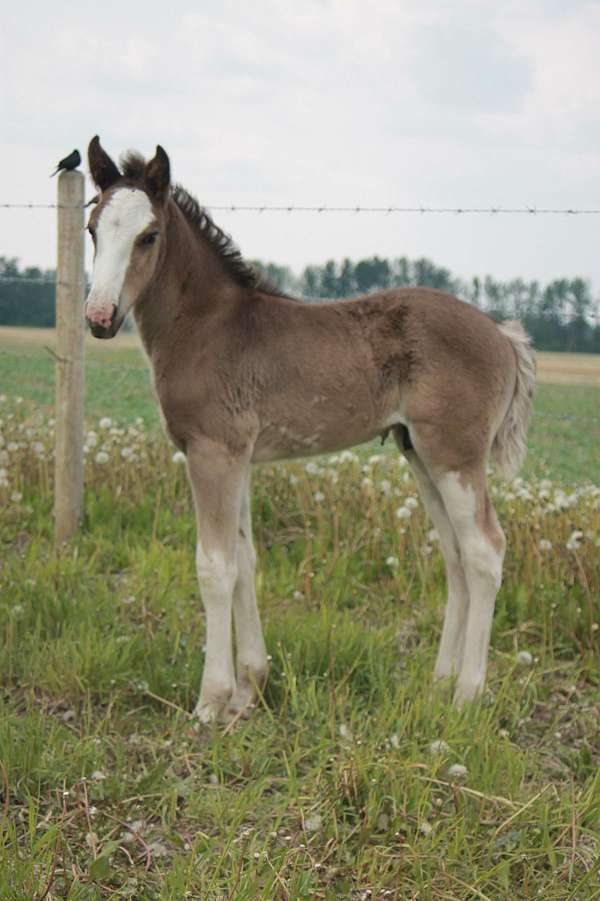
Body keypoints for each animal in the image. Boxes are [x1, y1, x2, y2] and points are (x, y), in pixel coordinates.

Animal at [84, 136, 535, 724]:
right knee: (456, 556)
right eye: (92, 228)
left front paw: (210, 703)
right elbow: (245, 561)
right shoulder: (238, 458)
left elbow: (215, 568)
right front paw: (248, 692)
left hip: (455, 457)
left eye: (149, 235)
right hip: (420, 454)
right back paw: (438, 685)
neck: (206, 324)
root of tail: (503, 334)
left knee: (485, 551)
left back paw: (466, 696)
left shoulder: (212, 452)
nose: (99, 317)